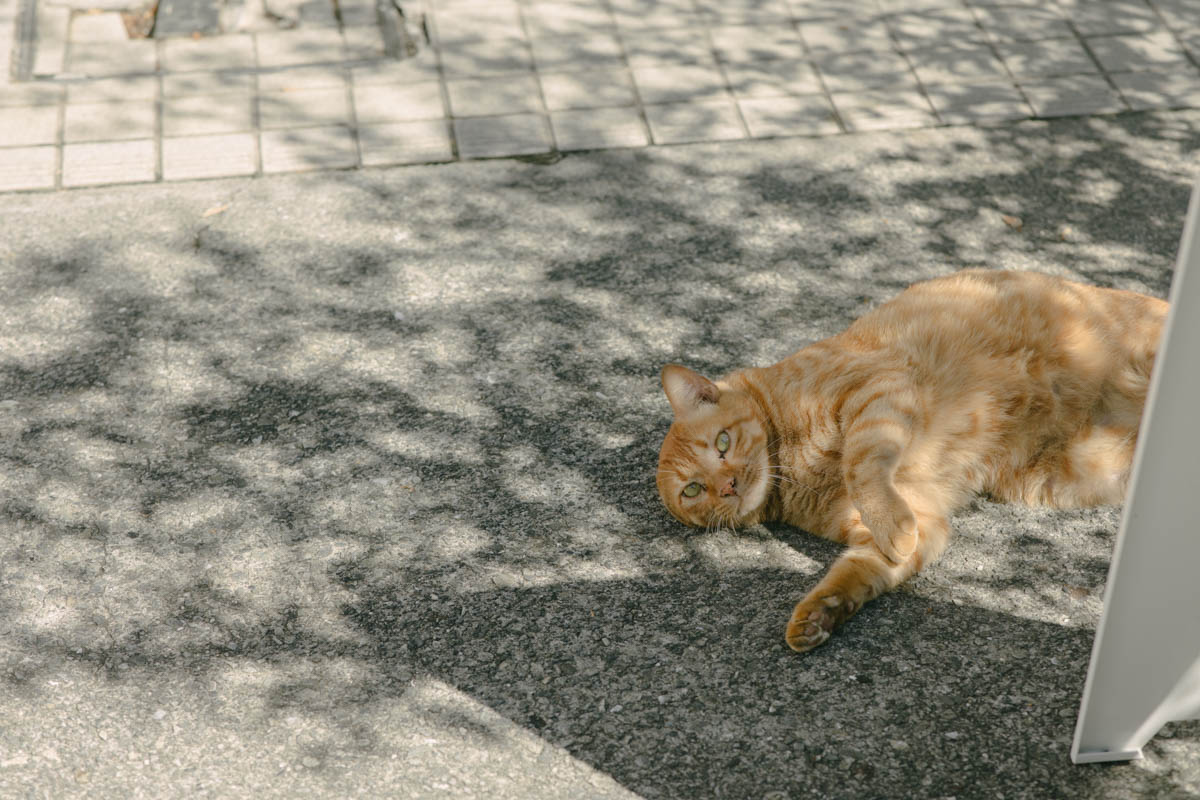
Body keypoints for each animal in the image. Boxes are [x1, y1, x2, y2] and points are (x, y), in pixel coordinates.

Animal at [652, 268, 1166, 652]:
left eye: (722, 443)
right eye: (694, 490)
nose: (729, 486)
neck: (794, 470)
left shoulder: (877, 393)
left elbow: (862, 468)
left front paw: (889, 525)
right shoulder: (919, 519)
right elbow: (862, 571)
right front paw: (821, 615)